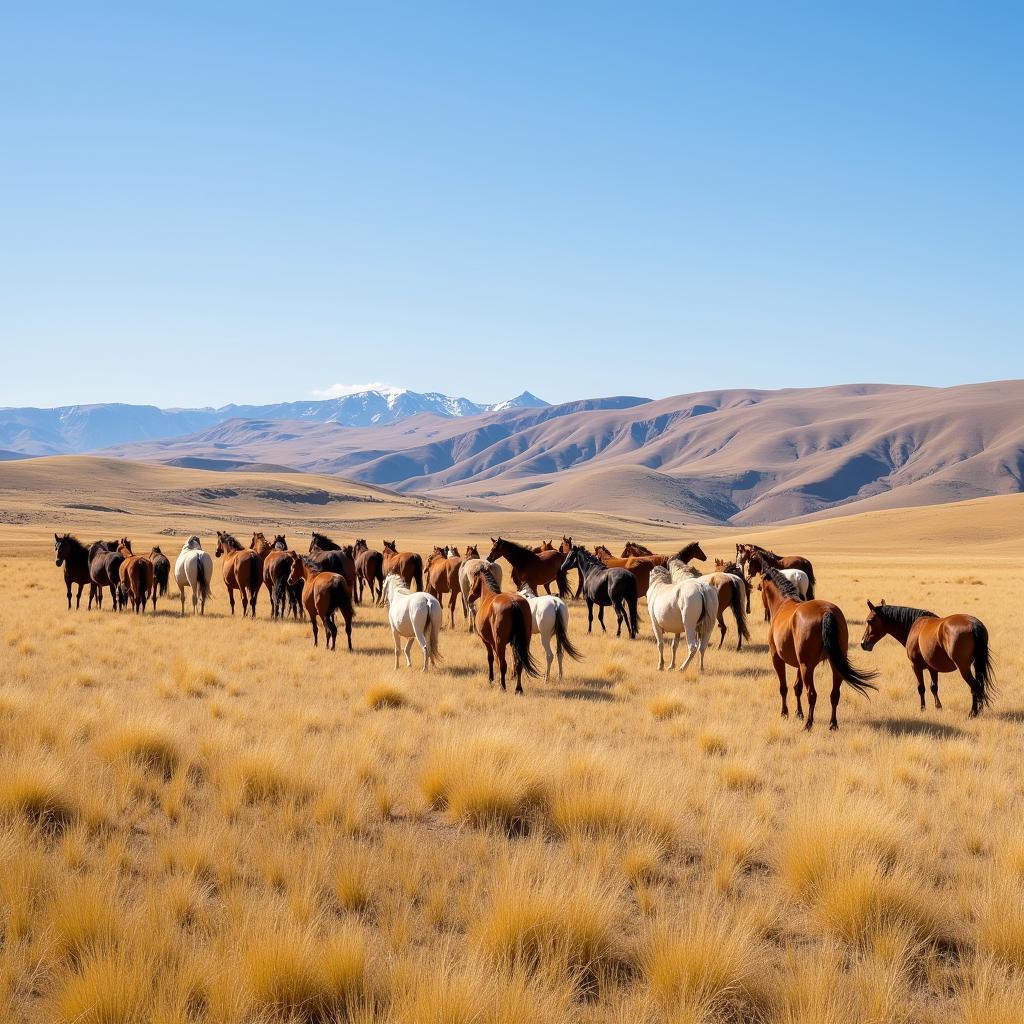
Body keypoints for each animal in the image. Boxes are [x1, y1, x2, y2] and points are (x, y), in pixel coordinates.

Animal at [757, 569, 876, 729]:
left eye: (761, 587)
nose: (758, 587)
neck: (783, 604)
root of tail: (826, 611)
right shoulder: (799, 664)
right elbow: (797, 687)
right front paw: (798, 713)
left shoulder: (777, 658)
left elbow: (784, 688)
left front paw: (785, 713)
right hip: (833, 664)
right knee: (834, 694)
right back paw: (832, 724)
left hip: (807, 667)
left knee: (812, 694)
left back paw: (808, 724)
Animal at [860, 598, 995, 716]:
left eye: (870, 621)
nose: (863, 643)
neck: (915, 626)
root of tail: (973, 624)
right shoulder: (932, 668)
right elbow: (934, 687)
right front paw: (938, 707)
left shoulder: (915, 666)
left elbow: (921, 688)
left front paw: (922, 709)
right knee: (979, 686)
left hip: (964, 669)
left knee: (975, 687)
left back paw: (973, 713)